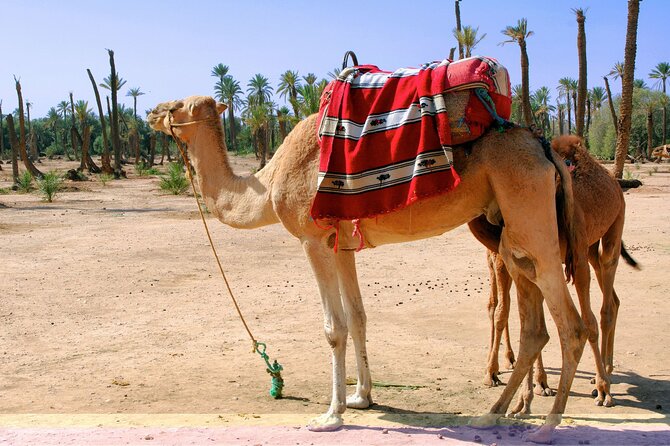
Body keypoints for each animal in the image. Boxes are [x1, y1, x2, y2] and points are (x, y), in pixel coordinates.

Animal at [148, 95, 587, 444]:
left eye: (177, 105)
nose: (151, 112)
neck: (269, 185)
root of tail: (544, 147)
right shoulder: (341, 245)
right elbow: (358, 317)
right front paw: (362, 397)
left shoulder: (312, 239)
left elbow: (334, 328)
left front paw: (331, 415)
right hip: (511, 233)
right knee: (536, 327)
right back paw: (493, 413)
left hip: (530, 214)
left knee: (572, 325)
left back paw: (546, 425)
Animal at [469, 134, 635, 410]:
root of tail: (613, 181)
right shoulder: (524, 262)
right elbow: (521, 318)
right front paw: (527, 393)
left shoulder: (571, 255)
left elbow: (586, 322)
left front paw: (602, 391)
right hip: (588, 248)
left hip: (613, 226)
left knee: (606, 304)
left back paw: (604, 380)